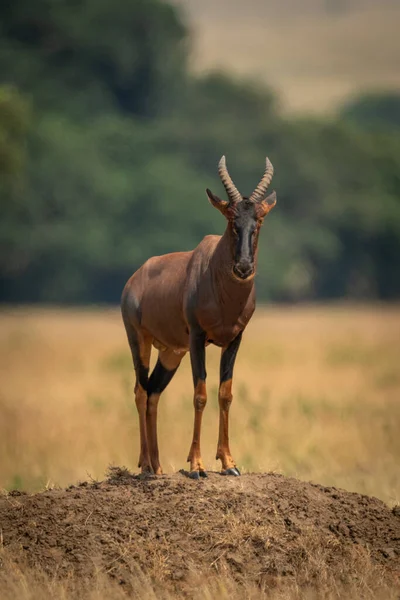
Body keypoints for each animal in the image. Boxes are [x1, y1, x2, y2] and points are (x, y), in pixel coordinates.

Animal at [122, 155, 276, 478]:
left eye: (258, 221)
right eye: (231, 220)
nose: (243, 268)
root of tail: (135, 278)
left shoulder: (234, 339)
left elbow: (225, 394)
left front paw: (229, 463)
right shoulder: (196, 337)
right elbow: (200, 394)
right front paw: (196, 466)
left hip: (171, 352)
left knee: (153, 392)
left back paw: (158, 466)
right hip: (139, 340)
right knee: (140, 390)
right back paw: (145, 465)